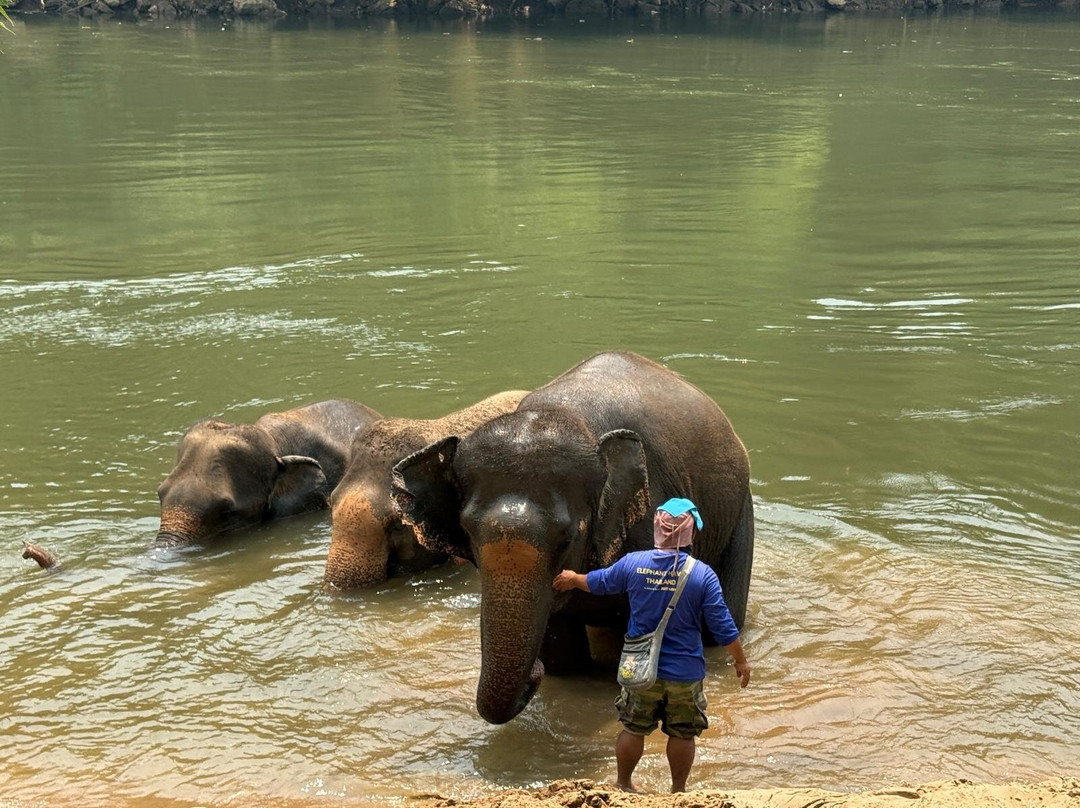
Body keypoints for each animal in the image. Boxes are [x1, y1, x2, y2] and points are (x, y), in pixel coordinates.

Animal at [391, 351, 753, 725]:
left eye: (567, 540)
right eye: (467, 533)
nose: (534, 674)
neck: (570, 416)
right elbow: (566, 658)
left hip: (739, 512)